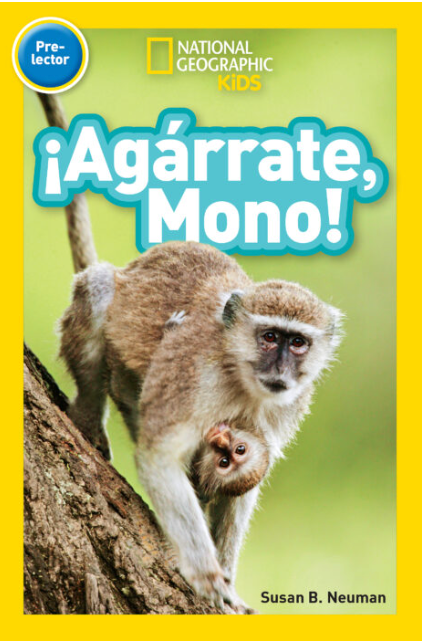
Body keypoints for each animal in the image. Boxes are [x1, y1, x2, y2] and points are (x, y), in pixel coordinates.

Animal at [38, 93, 343, 613]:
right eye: (270, 337)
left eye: (298, 342)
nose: (281, 368)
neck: (242, 380)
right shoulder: (192, 374)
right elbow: (161, 455)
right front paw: (207, 574)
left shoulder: (284, 409)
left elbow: (246, 484)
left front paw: (228, 583)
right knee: (99, 288)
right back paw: (89, 414)